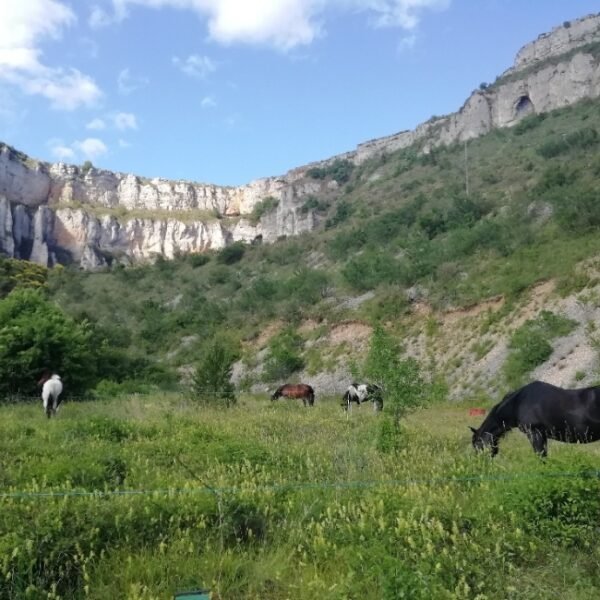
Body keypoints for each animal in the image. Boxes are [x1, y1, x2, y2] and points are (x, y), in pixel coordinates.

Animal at [472, 382, 600, 458]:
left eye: (476, 444)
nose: (480, 464)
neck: (518, 403)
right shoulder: (542, 436)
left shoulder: (534, 433)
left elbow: (540, 456)